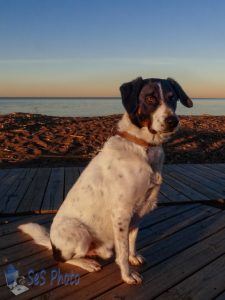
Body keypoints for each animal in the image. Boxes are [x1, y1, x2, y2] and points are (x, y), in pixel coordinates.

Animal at [18, 77, 192, 284]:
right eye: (150, 98)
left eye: (172, 97)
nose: (173, 121)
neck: (143, 146)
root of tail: (52, 243)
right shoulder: (121, 213)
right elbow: (122, 251)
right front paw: (127, 275)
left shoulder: (138, 212)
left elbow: (131, 241)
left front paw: (133, 257)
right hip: (79, 233)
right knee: (62, 259)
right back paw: (87, 263)